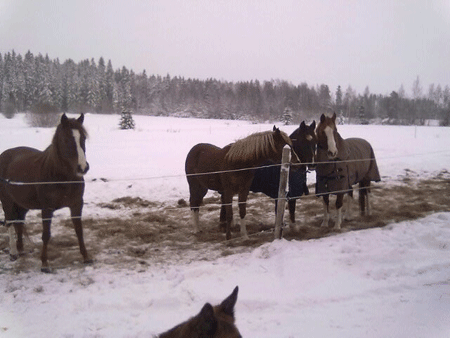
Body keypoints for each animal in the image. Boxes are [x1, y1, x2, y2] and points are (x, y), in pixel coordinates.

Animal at [0, 113, 91, 272]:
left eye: (83, 138)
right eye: (66, 139)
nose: (83, 167)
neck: (62, 177)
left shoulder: (76, 205)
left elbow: (79, 231)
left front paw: (86, 257)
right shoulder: (47, 209)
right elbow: (46, 235)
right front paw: (44, 264)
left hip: (22, 204)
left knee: (19, 222)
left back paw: (21, 249)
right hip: (7, 201)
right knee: (10, 223)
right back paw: (13, 253)